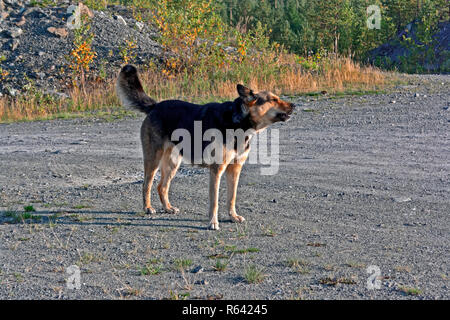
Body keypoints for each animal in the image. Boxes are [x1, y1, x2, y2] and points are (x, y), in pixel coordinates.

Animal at [115, 65, 296, 230]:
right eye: (273, 100)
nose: (294, 105)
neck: (239, 123)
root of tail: (155, 106)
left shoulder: (235, 169)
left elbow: (232, 197)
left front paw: (233, 216)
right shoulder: (216, 171)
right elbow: (214, 201)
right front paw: (213, 223)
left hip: (173, 163)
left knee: (162, 186)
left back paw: (167, 208)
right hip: (153, 159)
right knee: (147, 184)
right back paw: (147, 207)